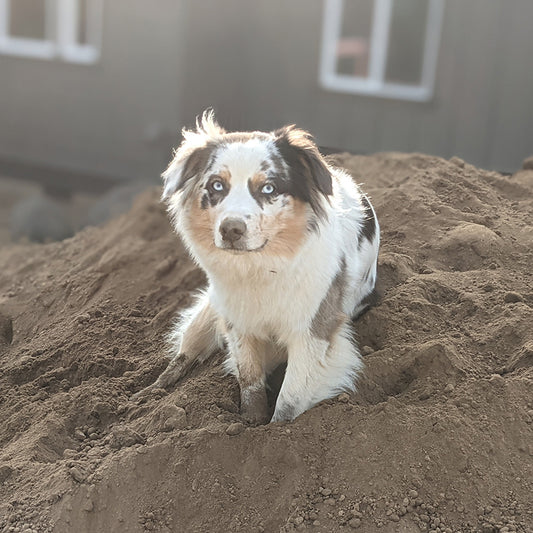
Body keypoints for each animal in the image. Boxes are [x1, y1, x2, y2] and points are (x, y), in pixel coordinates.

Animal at [135, 112, 380, 424]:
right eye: (216, 185)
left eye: (268, 188)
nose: (231, 229)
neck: (260, 268)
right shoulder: (237, 321)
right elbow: (249, 379)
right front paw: (250, 421)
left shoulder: (313, 328)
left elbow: (290, 397)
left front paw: (275, 429)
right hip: (208, 312)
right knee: (182, 355)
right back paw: (146, 397)